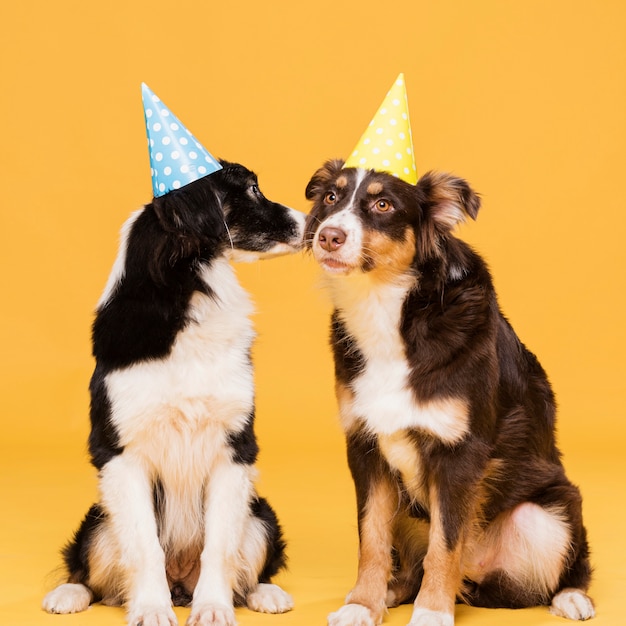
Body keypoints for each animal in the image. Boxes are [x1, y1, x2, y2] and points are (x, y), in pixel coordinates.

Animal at [42, 162, 304, 624]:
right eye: (252, 189)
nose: (312, 221)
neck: (188, 297)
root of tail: (181, 581)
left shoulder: (235, 448)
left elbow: (219, 546)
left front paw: (213, 607)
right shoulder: (120, 452)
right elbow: (144, 547)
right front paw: (150, 608)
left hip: (261, 514)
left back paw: (264, 593)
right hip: (97, 521)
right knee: (87, 571)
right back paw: (69, 594)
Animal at [304, 158, 592, 620]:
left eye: (383, 204)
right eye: (332, 197)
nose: (329, 235)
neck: (388, 307)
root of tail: (475, 578)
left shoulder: (459, 453)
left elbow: (446, 543)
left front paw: (432, 613)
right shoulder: (365, 447)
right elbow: (372, 539)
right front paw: (363, 604)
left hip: (551, 511)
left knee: (563, 565)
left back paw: (571, 597)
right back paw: (391, 592)